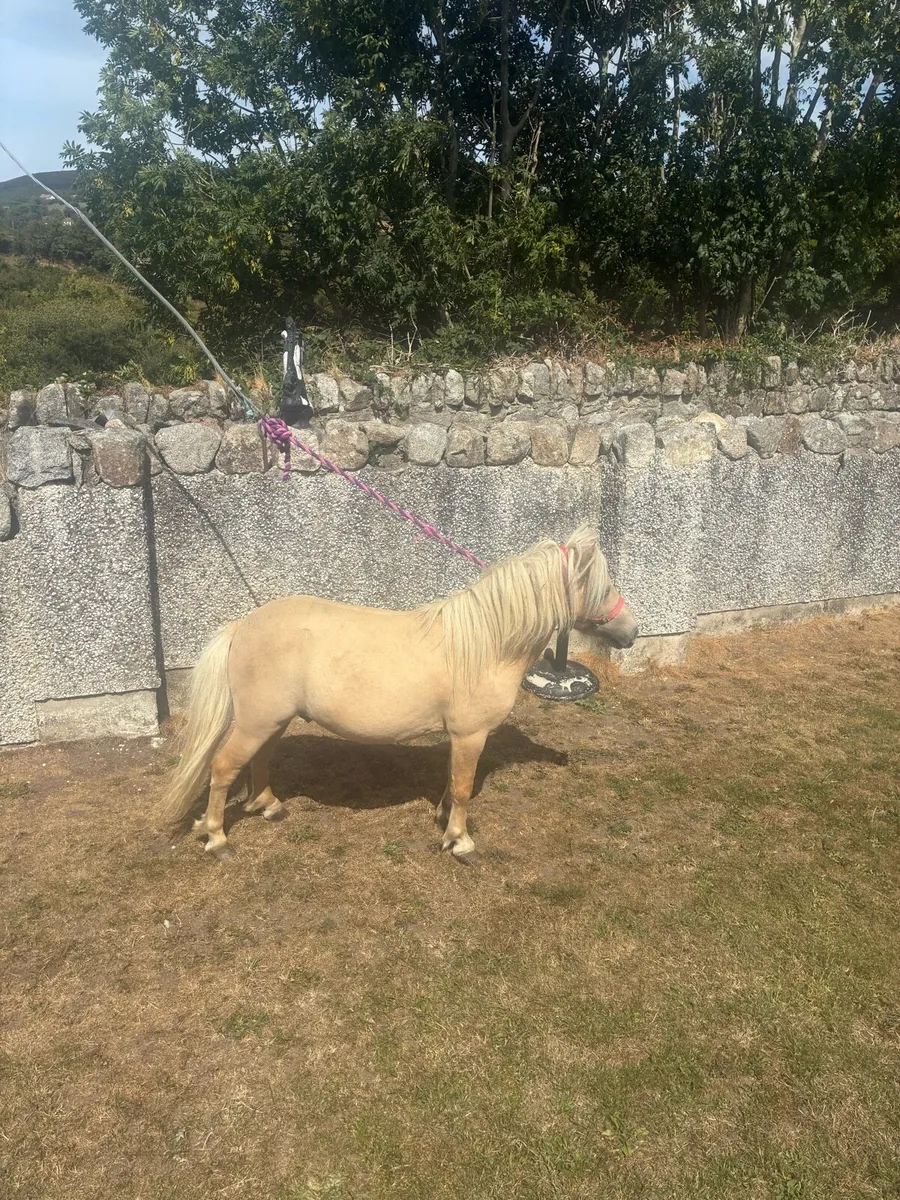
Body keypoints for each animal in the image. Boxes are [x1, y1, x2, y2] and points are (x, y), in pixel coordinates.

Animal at [160, 525, 638, 863]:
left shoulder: (459, 738)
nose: (632, 631)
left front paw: (444, 821)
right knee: (223, 767)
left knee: (258, 759)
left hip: (272, 721)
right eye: (603, 585)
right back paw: (217, 838)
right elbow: (463, 787)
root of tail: (242, 626)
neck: (486, 643)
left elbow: (452, 782)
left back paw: (269, 806)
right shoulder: (470, 735)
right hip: (257, 720)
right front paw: (461, 842)